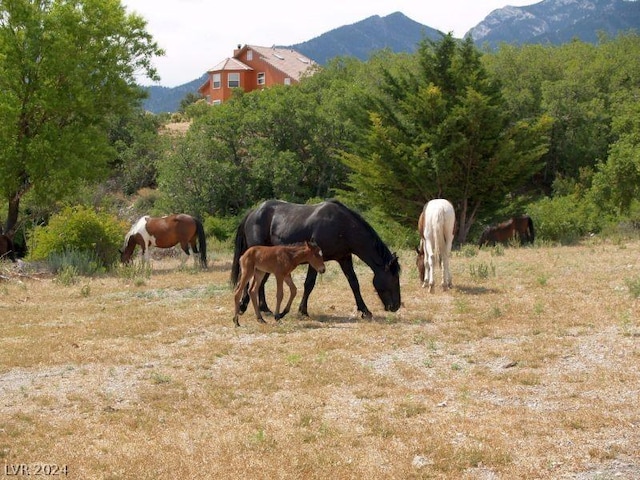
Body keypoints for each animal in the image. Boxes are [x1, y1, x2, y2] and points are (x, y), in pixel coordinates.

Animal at [230, 199, 400, 318]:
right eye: (393, 279)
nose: (396, 306)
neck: (341, 226)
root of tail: (253, 212)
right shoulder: (315, 260)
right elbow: (309, 284)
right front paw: (302, 311)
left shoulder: (344, 258)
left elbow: (354, 283)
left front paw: (365, 311)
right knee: (251, 281)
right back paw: (244, 306)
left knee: (261, 282)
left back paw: (264, 308)